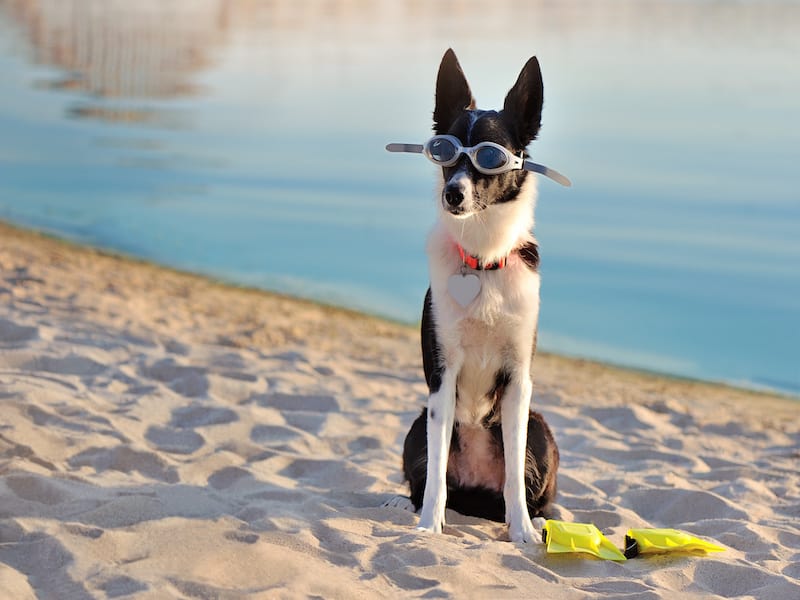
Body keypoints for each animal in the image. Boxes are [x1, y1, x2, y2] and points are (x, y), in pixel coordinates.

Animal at [386, 49, 564, 540]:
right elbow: (434, 479)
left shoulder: (519, 382)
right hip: (416, 425)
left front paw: (522, 533)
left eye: (489, 157)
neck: (482, 261)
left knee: (525, 487)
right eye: (444, 152)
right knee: (428, 477)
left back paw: (538, 518)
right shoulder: (441, 377)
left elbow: (514, 479)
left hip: (541, 429)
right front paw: (429, 527)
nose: (453, 193)